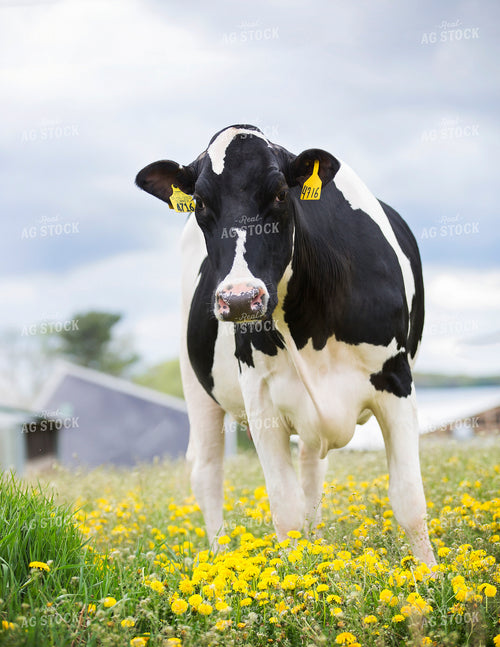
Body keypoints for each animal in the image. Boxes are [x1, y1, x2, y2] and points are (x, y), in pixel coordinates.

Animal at [136, 124, 436, 566]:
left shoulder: (397, 380)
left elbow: (410, 501)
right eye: (201, 202)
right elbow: (285, 510)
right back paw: (220, 555)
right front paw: (294, 579)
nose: (240, 299)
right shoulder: (260, 399)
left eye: (280, 193)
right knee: (207, 470)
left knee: (311, 467)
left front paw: (431, 577)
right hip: (196, 383)